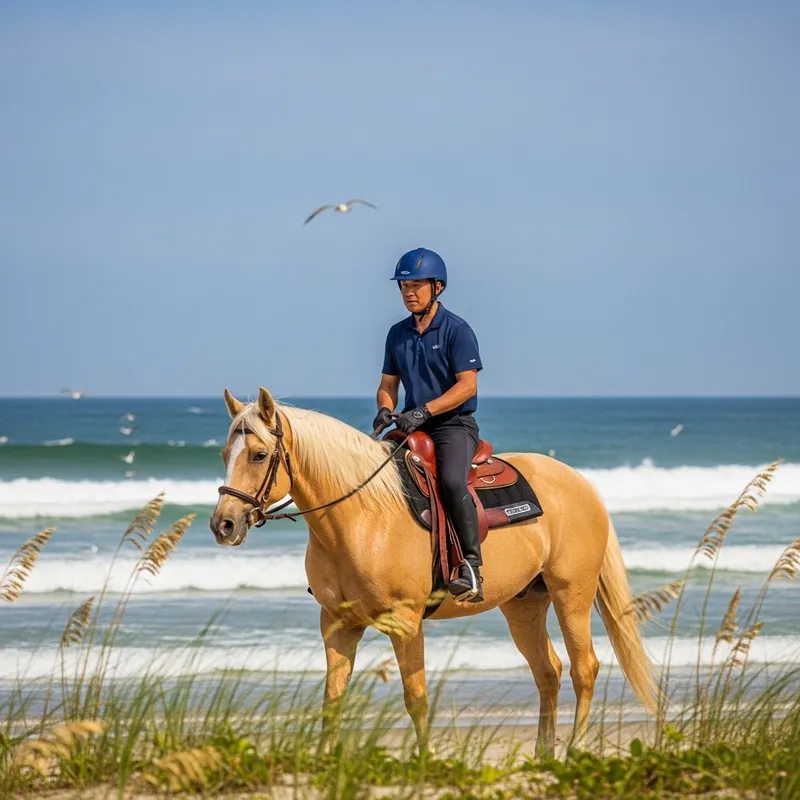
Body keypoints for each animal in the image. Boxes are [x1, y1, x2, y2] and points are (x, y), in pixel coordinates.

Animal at [210, 387, 659, 757]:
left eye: (259, 455)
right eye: (224, 454)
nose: (224, 525)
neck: (361, 517)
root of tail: (581, 482)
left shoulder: (405, 623)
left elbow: (416, 698)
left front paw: (424, 762)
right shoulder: (337, 624)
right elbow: (332, 699)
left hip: (572, 595)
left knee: (585, 669)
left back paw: (575, 752)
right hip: (524, 606)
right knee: (548, 672)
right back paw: (543, 756)